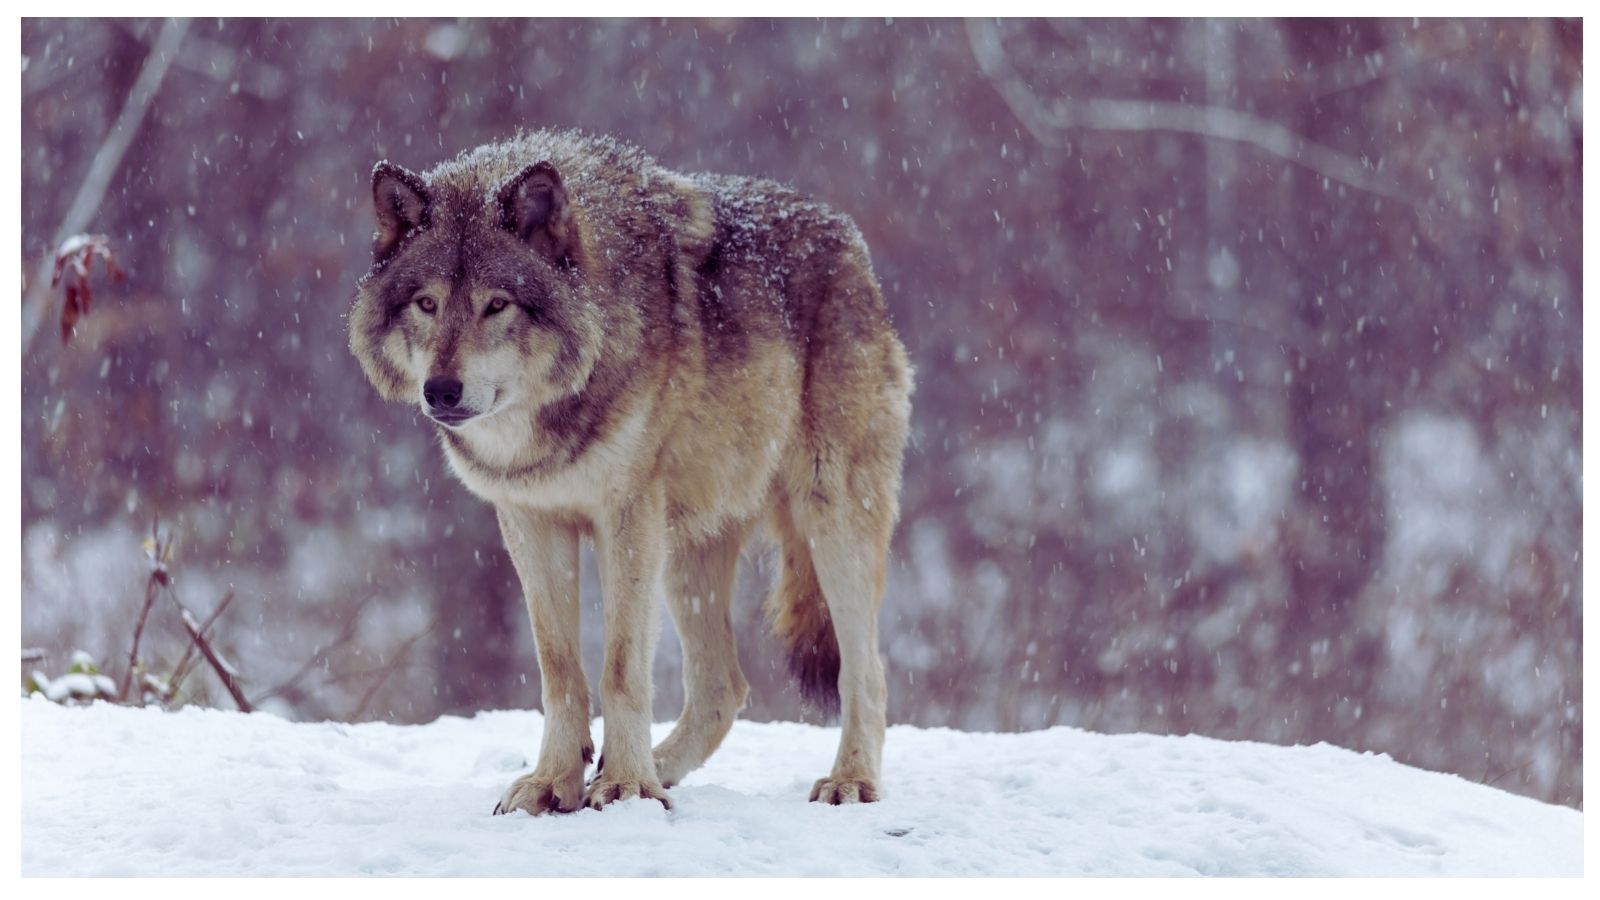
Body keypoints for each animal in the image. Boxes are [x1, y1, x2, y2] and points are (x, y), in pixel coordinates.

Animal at [347, 129, 913, 813]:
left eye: (496, 305)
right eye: (427, 303)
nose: (441, 391)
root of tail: (851, 242)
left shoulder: (626, 518)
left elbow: (619, 667)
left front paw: (625, 786)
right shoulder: (531, 520)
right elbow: (560, 669)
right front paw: (556, 783)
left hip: (829, 519)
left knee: (867, 671)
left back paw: (849, 780)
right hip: (687, 553)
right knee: (723, 686)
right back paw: (658, 767)